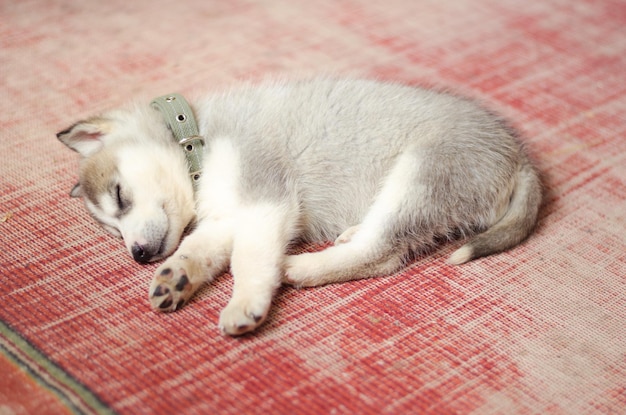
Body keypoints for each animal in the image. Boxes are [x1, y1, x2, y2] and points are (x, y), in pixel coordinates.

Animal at [56, 79, 540, 338]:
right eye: (112, 228)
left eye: (120, 196)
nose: (137, 254)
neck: (199, 144)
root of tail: (518, 157)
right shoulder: (233, 216)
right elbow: (200, 248)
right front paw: (177, 276)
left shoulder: (266, 198)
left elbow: (249, 260)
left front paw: (245, 303)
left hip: (420, 174)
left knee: (381, 253)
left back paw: (299, 268)